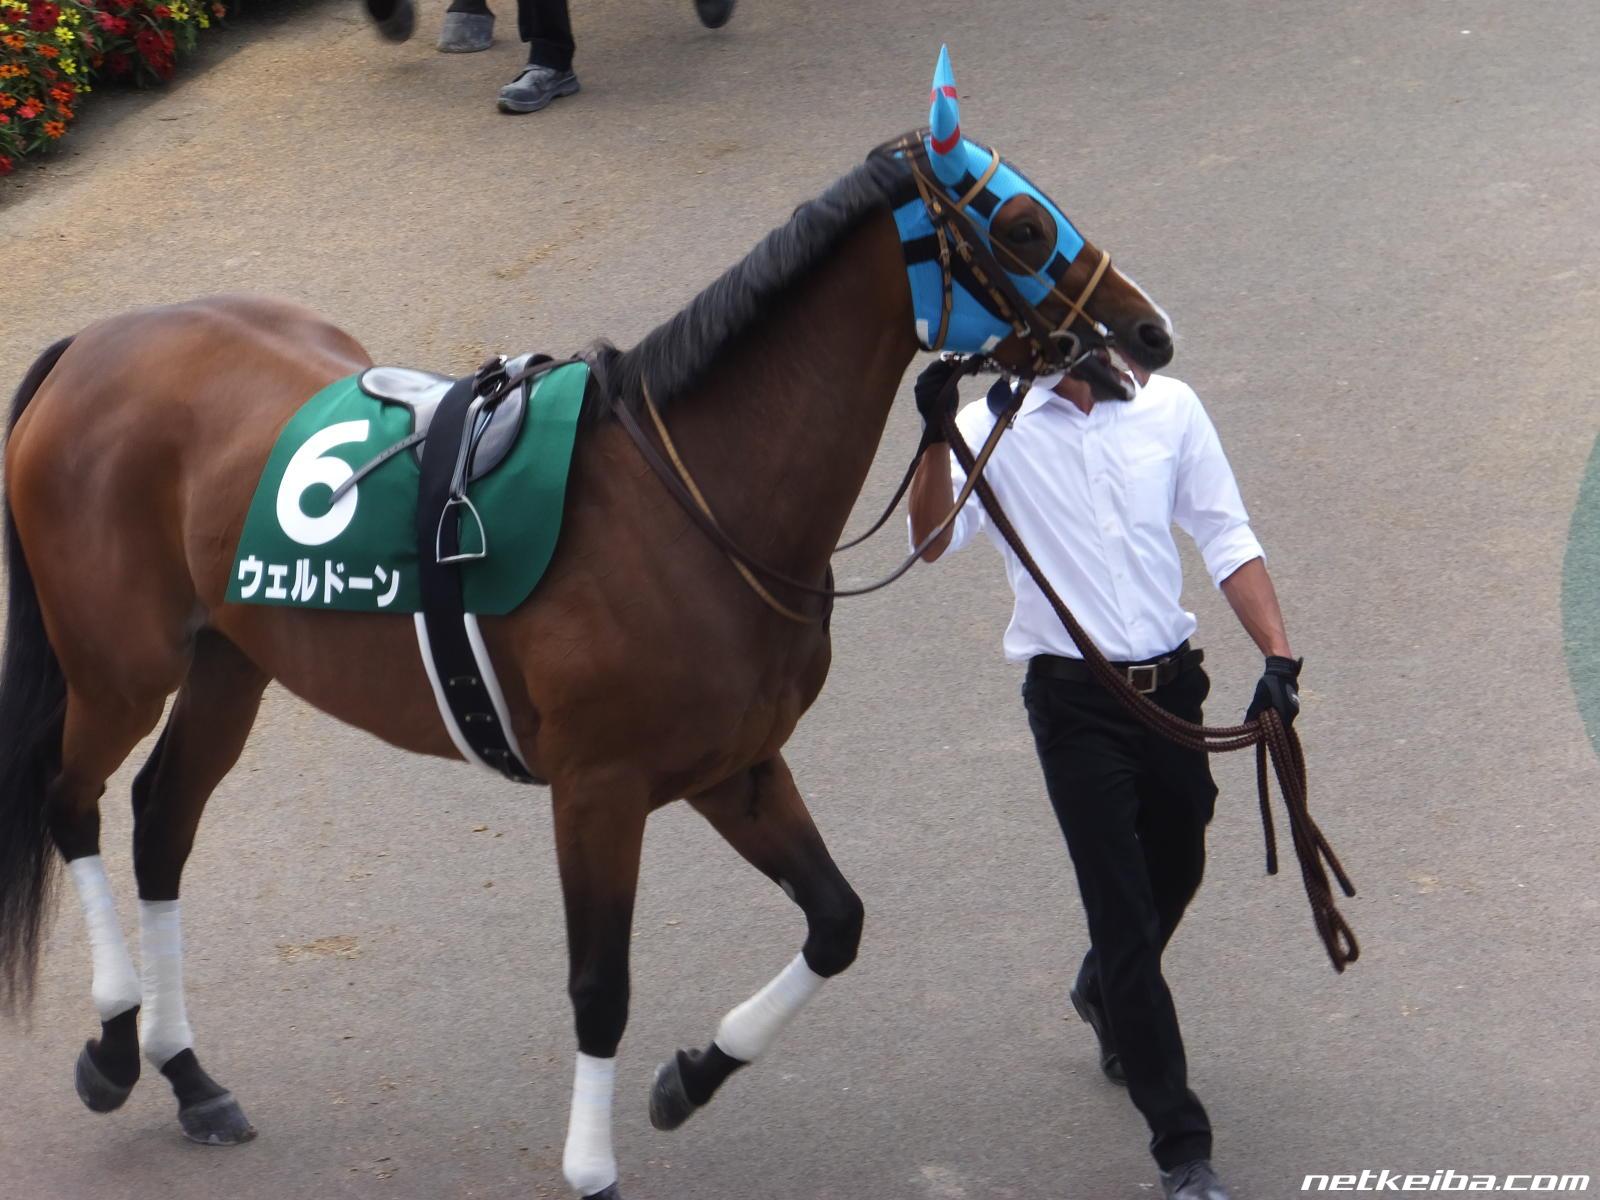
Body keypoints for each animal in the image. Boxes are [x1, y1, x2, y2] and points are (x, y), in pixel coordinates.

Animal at [0, 79, 1174, 1200]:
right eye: (1019, 226)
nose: (1146, 332)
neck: (694, 504)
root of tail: (89, 346)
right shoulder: (598, 789)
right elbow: (600, 986)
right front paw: (594, 1167)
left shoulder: (735, 765)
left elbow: (835, 921)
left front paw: (692, 1075)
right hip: (121, 670)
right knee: (70, 802)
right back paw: (114, 1048)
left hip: (231, 660)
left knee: (161, 819)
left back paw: (187, 1073)